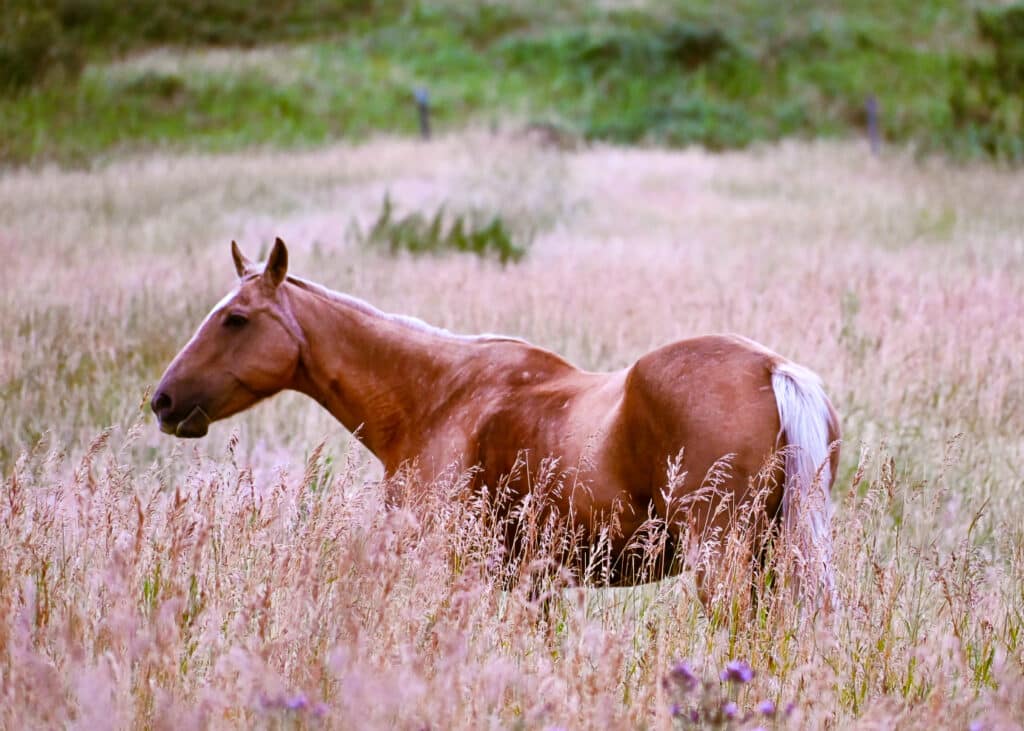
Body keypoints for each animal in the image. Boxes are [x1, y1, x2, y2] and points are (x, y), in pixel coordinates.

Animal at [152, 238, 840, 607]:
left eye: (236, 318)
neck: (439, 397)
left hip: (721, 562)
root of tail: (773, 368)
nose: (163, 401)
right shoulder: (533, 585)